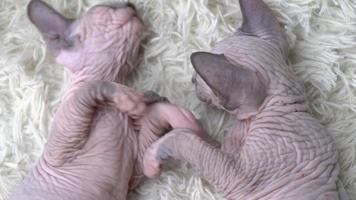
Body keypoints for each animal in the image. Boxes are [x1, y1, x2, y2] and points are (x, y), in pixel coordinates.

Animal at [9, 0, 203, 199]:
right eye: (107, 7)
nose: (131, 4)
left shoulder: (134, 172)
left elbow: (158, 114)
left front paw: (185, 125)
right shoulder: (60, 150)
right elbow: (93, 85)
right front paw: (131, 99)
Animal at [143, 0, 350, 200]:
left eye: (198, 80)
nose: (192, 81)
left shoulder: (237, 174)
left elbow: (188, 141)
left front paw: (153, 155)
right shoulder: (227, 150)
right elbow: (194, 134)